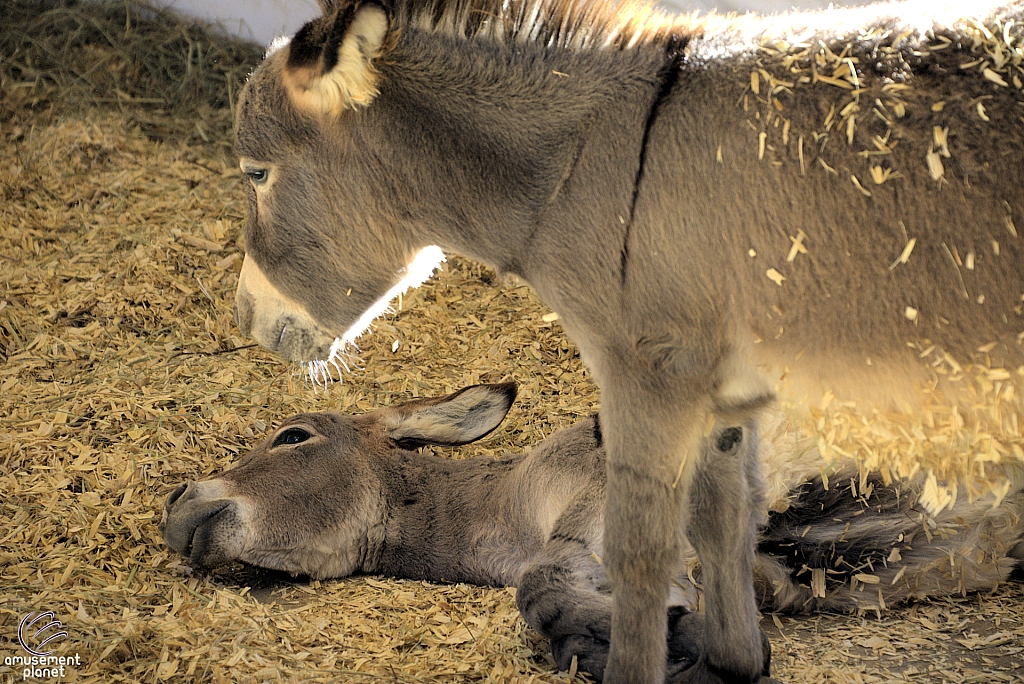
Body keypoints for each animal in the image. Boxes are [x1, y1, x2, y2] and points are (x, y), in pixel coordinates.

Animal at [161, 382, 1024, 679]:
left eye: (292, 436)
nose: (175, 501)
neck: (517, 496)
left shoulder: (609, 524)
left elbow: (541, 583)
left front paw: (658, 647)